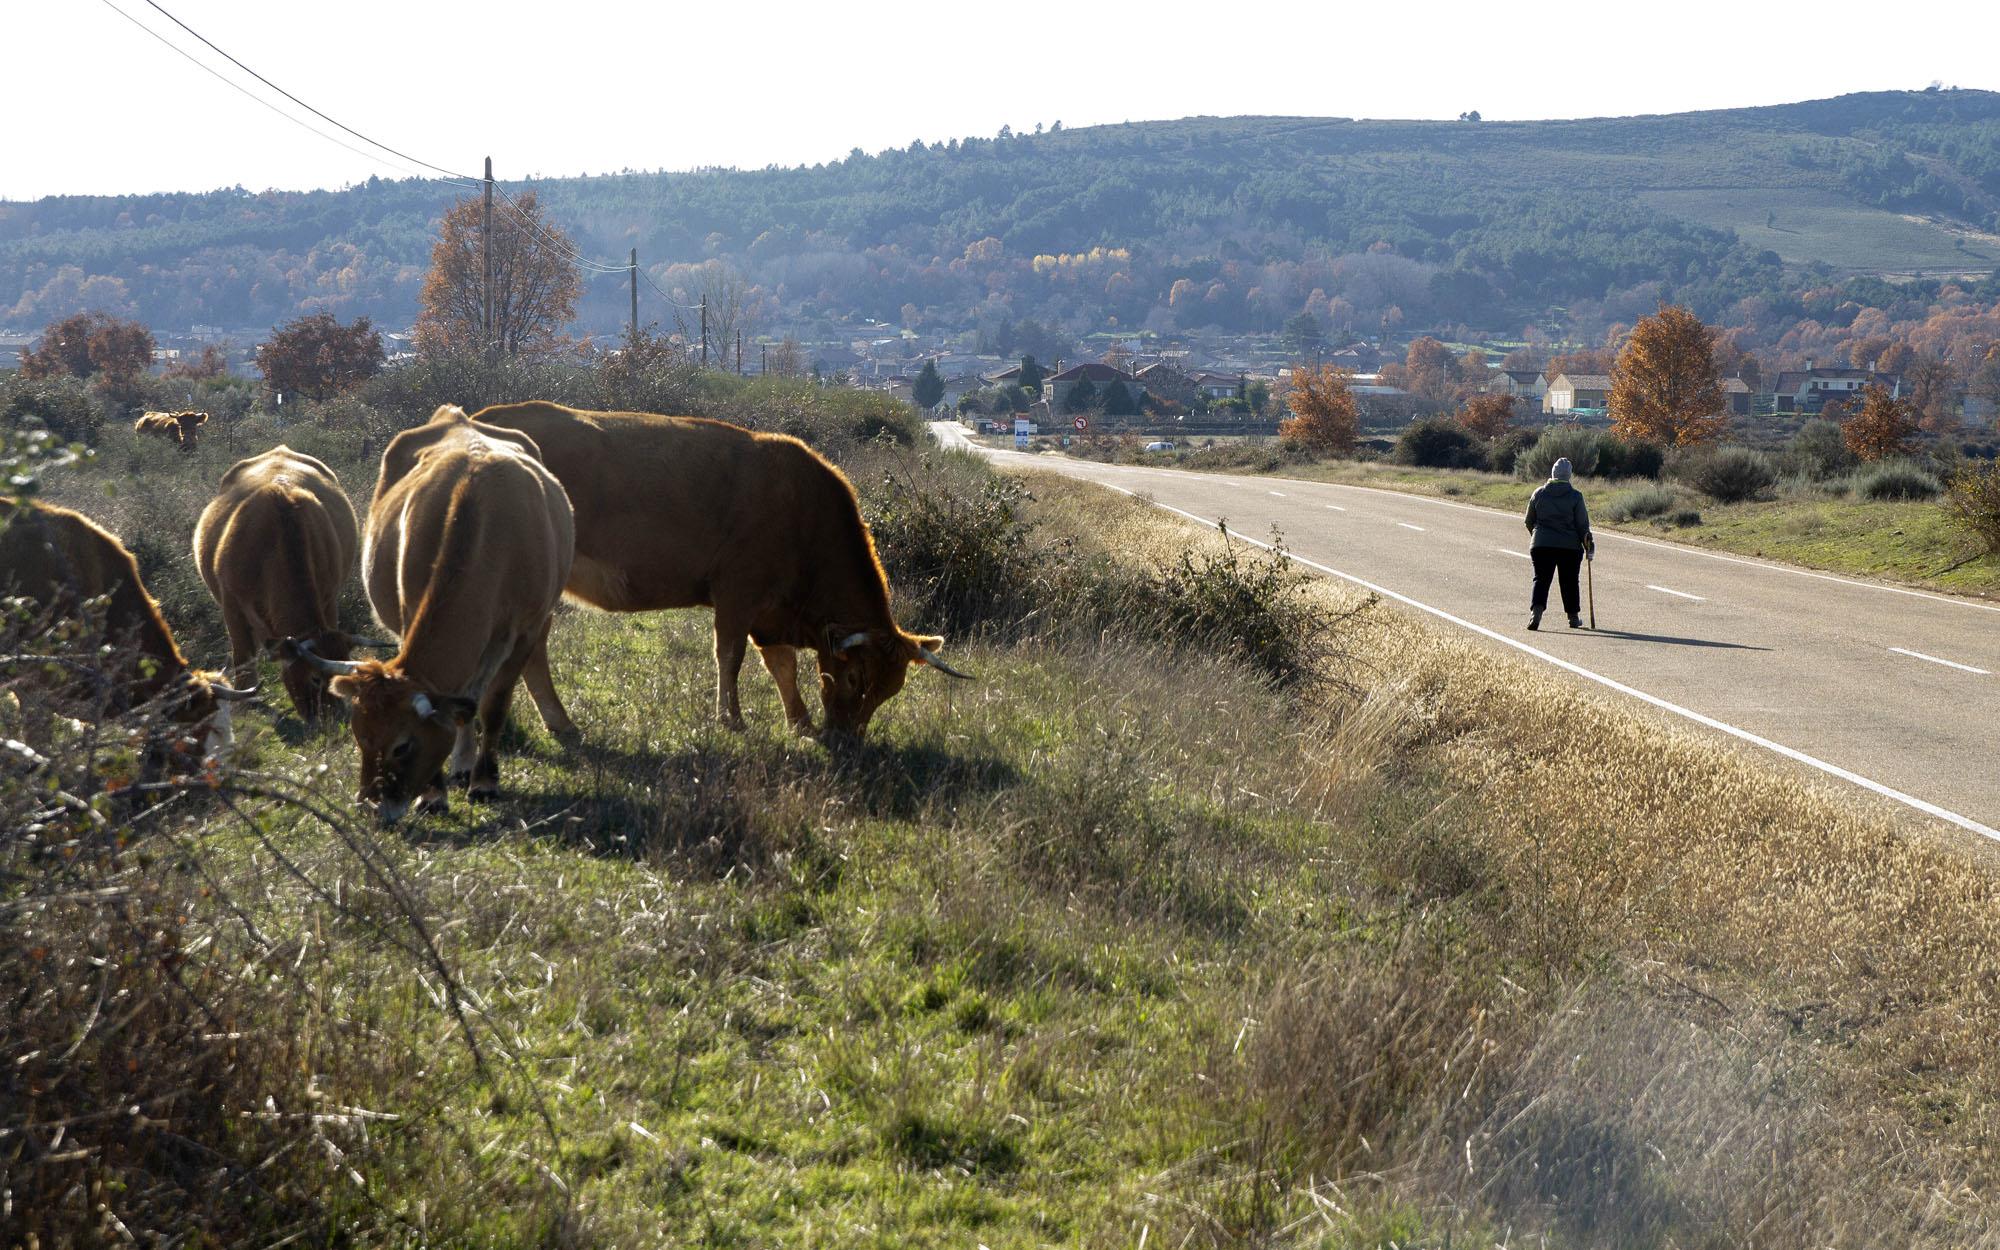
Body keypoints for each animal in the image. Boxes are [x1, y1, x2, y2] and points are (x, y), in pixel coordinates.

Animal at [300, 404, 576, 824]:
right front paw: (434, 794)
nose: (371, 805)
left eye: (402, 745)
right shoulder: (408, 615)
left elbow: (493, 706)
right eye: (359, 736)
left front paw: (485, 781)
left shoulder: (525, 633)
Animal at [470, 398, 968, 740]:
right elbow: (730, 657)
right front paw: (732, 719)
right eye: (854, 677)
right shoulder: (738, 593)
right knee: (528, 649)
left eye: (890, 690)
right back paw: (550, 721)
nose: (849, 740)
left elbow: (783, 666)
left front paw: (801, 723)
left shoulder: (771, 614)